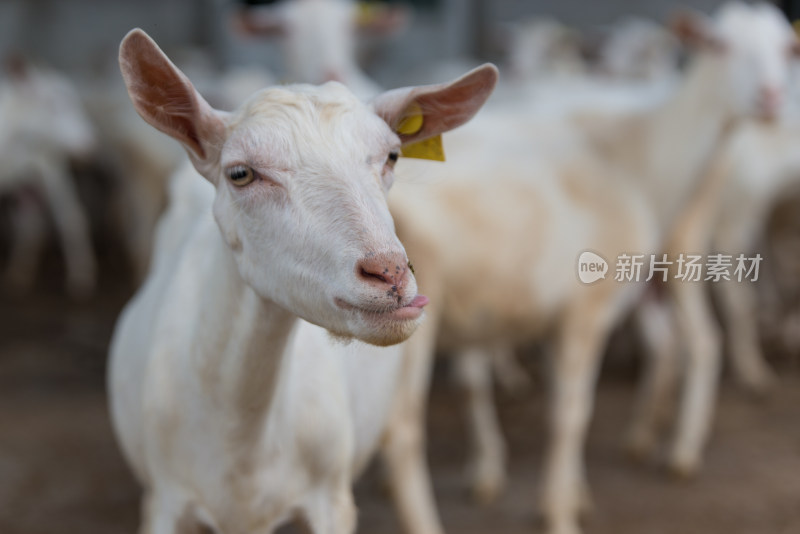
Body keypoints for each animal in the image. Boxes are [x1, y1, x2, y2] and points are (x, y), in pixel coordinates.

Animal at [0, 62, 97, 300]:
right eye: (53, 102)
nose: (90, 144)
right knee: (31, 220)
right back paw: (20, 272)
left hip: (50, 168)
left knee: (70, 215)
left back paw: (81, 277)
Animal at [106, 29, 494, 534]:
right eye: (240, 173)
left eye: (391, 156)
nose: (389, 273)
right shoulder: (163, 502)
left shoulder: (331, 500)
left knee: (405, 440)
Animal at [384, 3, 796, 532]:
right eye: (718, 44)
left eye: (787, 47)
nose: (772, 98)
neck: (637, 159)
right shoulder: (586, 310)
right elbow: (571, 413)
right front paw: (559, 512)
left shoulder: (551, 313)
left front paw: (570, 494)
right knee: (400, 434)